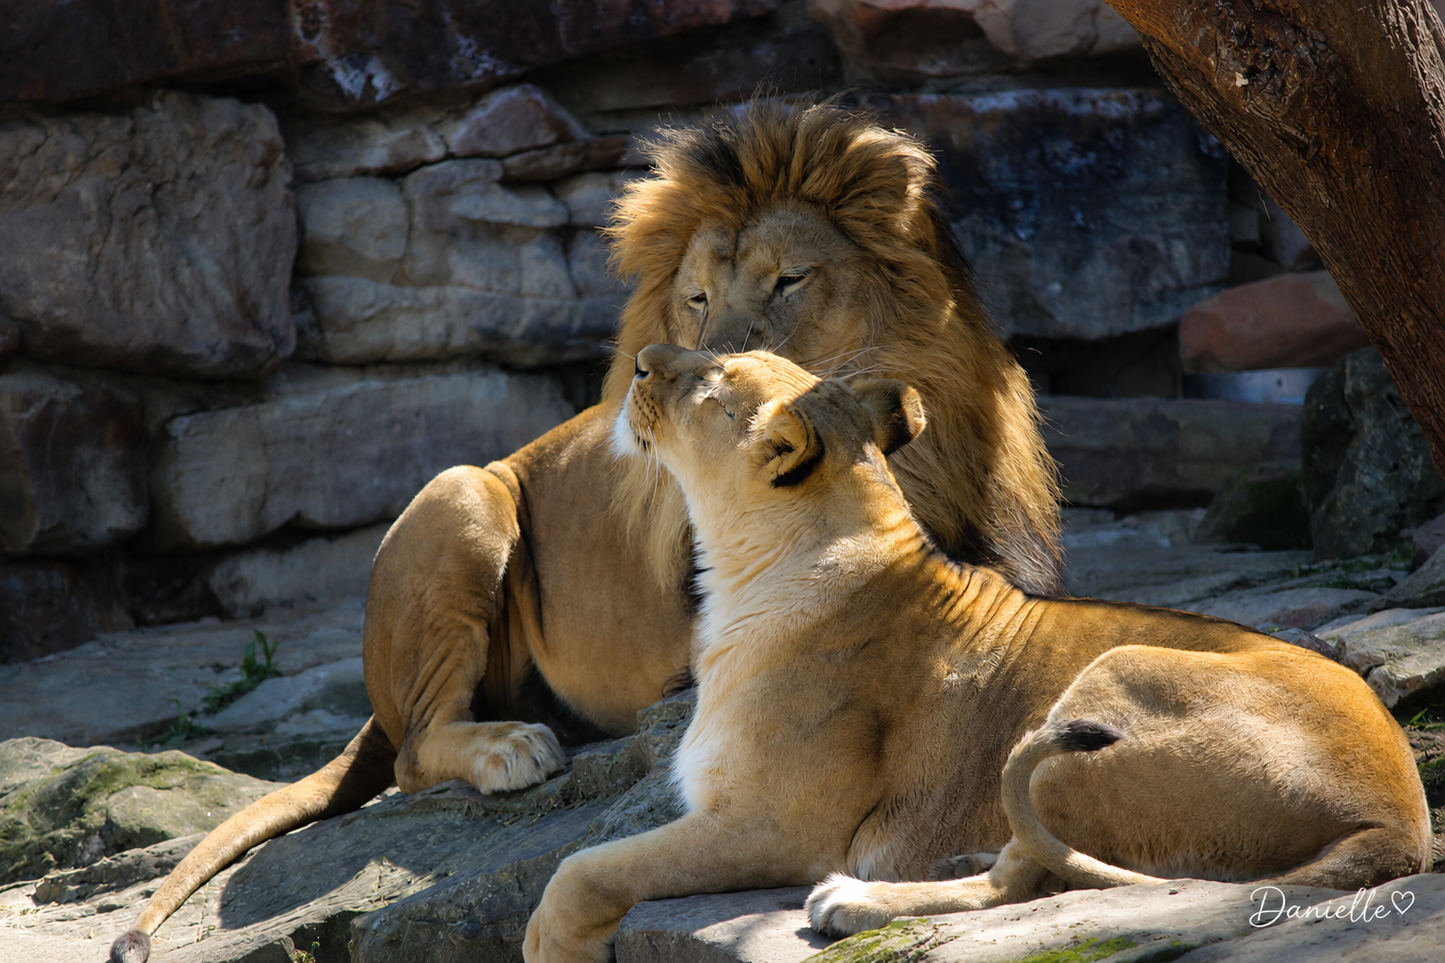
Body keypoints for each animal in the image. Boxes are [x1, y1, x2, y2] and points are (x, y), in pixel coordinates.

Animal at [111, 103, 1062, 962]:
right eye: (695, 299)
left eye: (789, 280)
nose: (688, 370)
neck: (893, 472)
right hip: (463, 491)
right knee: (414, 750)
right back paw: (510, 745)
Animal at [521, 344, 1430, 963]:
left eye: (712, 382)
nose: (641, 360)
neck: (740, 572)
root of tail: (1397, 818)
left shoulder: (777, 825)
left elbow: (581, 867)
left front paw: (552, 944)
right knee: (1040, 864)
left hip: (1107, 680)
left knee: (1019, 879)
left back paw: (853, 901)